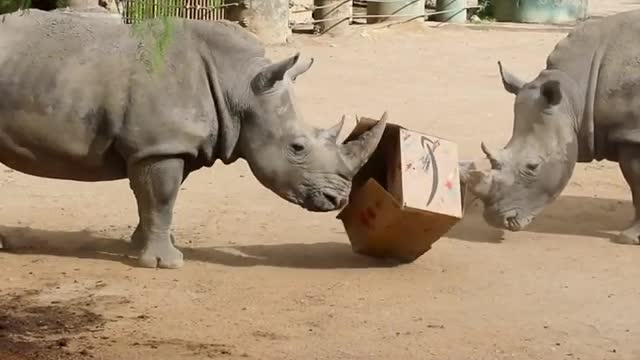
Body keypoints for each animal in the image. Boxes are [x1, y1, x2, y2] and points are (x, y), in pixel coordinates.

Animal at [0, 9, 384, 268]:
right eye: (297, 148)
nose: (338, 200)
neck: (240, 87)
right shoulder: (158, 147)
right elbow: (160, 199)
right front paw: (164, 264)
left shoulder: (171, 145)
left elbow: (157, 201)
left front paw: (139, 249)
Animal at [458, 9, 640, 245]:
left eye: (533, 166)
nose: (496, 220)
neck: (576, 95)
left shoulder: (631, 133)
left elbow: (637, 186)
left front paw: (628, 238)